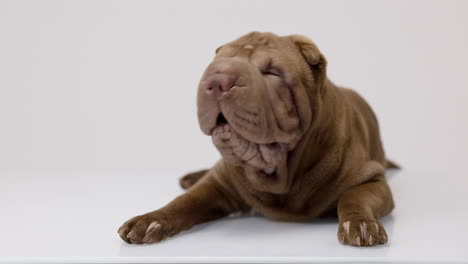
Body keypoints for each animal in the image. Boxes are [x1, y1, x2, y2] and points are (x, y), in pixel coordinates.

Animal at [118, 31, 398, 248]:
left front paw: (361, 224)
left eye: (272, 73)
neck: (283, 174)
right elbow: (186, 201)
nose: (216, 80)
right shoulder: (220, 183)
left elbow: (354, 198)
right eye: (216, 63)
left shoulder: (371, 179)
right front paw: (149, 220)